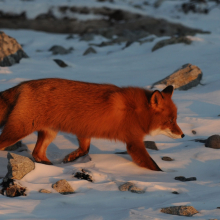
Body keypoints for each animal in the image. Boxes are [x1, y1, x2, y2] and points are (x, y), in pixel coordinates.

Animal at [0, 78, 184, 171]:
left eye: (175, 118)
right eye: (171, 120)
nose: (183, 135)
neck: (136, 111)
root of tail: (22, 85)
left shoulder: (84, 128)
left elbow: (85, 148)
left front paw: (71, 158)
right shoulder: (134, 142)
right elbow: (153, 165)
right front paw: (162, 177)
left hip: (50, 132)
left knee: (37, 153)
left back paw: (50, 167)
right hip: (19, 130)